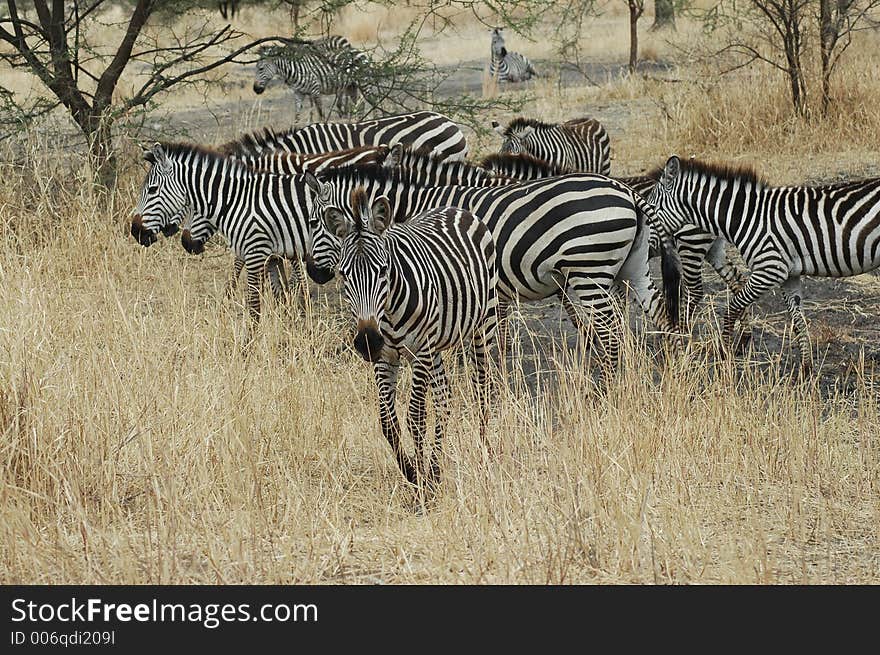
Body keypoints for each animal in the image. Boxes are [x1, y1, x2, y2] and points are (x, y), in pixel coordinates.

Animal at [127, 144, 326, 328]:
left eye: (152, 190)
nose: (136, 231)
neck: (243, 198)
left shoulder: (273, 243)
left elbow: (259, 294)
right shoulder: (272, 247)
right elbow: (275, 284)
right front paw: (287, 315)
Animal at [306, 165, 684, 384]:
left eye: (314, 223)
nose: (313, 272)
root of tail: (628, 191)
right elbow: (494, 341)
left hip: (588, 271)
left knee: (612, 332)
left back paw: (604, 392)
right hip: (632, 268)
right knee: (662, 315)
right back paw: (676, 370)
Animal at [324, 188, 502, 486]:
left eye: (383, 270)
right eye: (343, 274)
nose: (367, 341)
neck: (389, 309)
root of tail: (455, 208)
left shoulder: (420, 351)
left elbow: (416, 417)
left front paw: (421, 482)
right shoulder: (385, 356)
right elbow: (387, 421)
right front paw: (412, 472)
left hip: (482, 322)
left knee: (482, 390)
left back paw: (484, 455)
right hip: (435, 347)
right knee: (444, 398)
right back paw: (437, 469)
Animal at [648, 153, 880, 368]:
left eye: (649, 212)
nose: (644, 246)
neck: (746, 218)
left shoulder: (769, 270)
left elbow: (732, 308)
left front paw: (724, 354)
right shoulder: (789, 275)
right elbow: (798, 322)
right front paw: (806, 372)